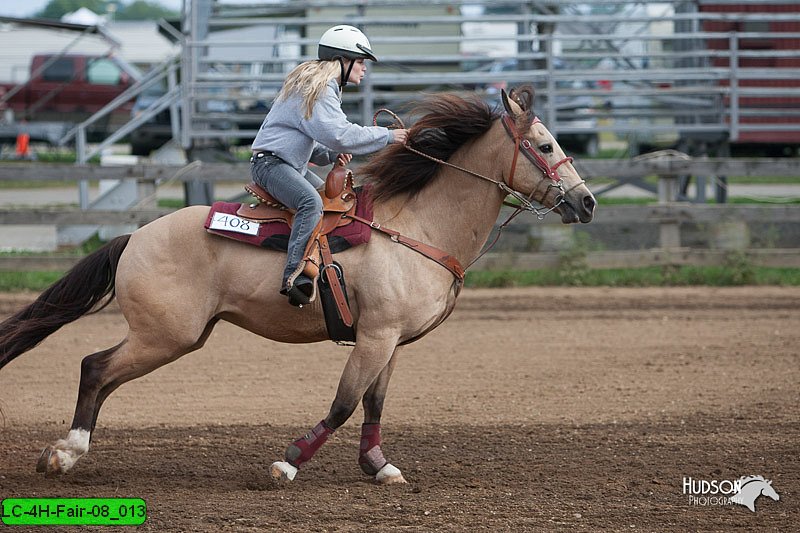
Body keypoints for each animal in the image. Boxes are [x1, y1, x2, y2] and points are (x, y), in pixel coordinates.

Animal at [0, 85, 592, 484]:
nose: (586, 202)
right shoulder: (375, 337)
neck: (417, 226)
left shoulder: (391, 340)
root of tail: (135, 236)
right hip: (165, 336)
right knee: (95, 368)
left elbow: (374, 405)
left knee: (101, 374)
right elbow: (344, 403)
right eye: (544, 144)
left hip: (172, 336)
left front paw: (378, 466)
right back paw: (64, 453)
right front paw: (287, 463)